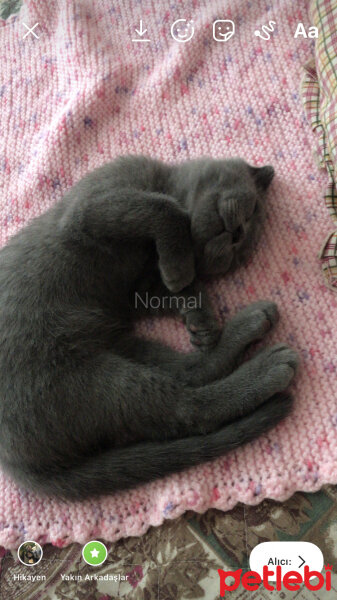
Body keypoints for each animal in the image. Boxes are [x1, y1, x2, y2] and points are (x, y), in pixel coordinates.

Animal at [0, 152, 300, 500]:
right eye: (251, 211)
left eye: (241, 252)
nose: (239, 233)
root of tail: (17, 465)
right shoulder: (94, 204)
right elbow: (164, 209)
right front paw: (181, 270)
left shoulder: (138, 290)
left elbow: (175, 290)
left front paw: (201, 318)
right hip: (85, 378)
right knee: (187, 406)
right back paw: (265, 361)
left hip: (115, 352)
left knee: (188, 379)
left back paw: (249, 330)